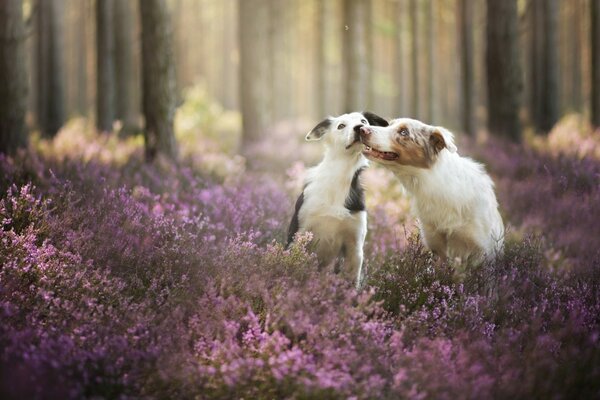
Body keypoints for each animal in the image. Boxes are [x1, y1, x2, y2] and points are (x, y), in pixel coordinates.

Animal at [288, 111, 390, 290]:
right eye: (341, 126)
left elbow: (352, 283)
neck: (341, 176)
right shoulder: (299, 234)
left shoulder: (354, 247)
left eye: (364, 121)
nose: (360, 128)